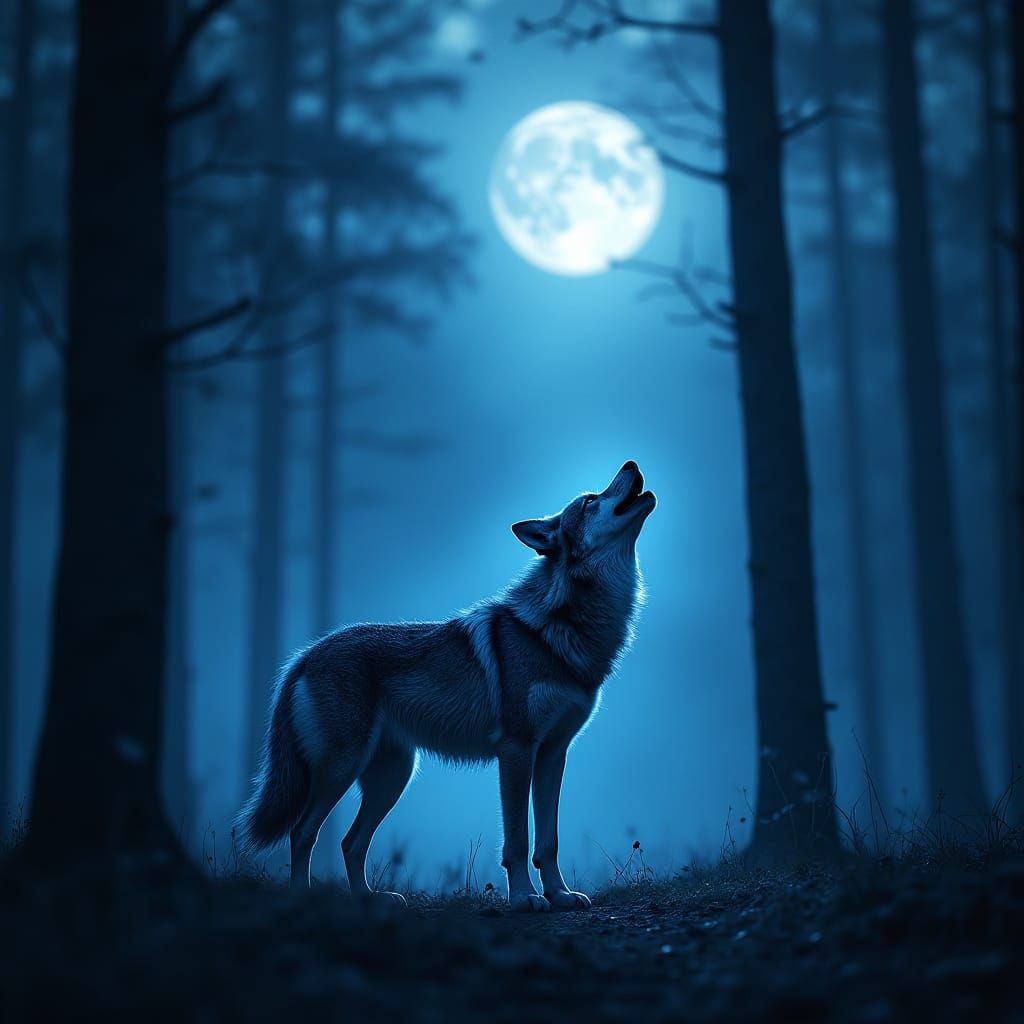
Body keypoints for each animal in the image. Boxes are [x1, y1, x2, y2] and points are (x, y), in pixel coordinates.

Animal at [237, 461, 655, 911]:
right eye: (591, 500)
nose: (631, 464)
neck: (557, 629)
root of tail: (304, 655)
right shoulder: (516, 749)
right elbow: (519, 840)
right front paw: (524, 897)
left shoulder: (553, 754)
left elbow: (549, 841)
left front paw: (559, 894)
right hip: (343, 768)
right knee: (303, 832)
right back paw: (303, 899)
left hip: (393, 776)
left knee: (351, 842)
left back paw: (370, 899)